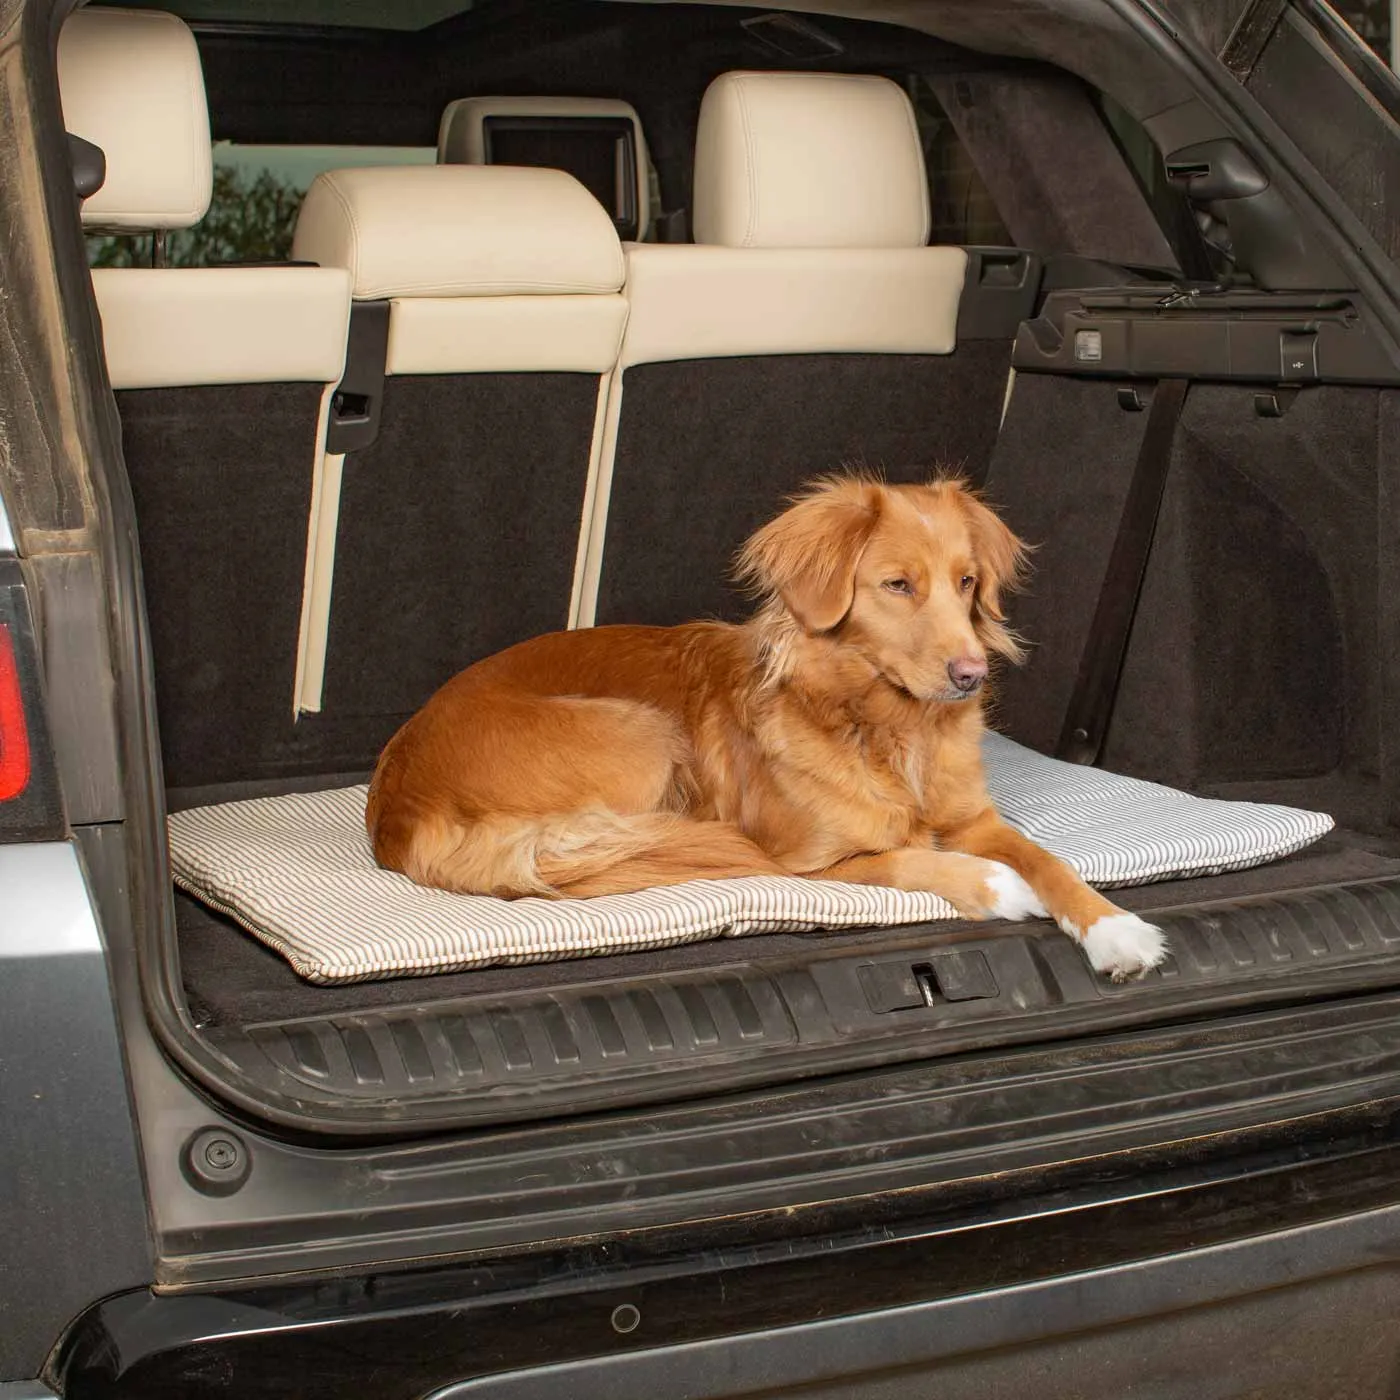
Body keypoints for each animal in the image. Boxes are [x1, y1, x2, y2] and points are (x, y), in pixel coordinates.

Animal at [366, 476, 1164, 980]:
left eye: (967, 582)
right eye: (897, 585)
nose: (971, 674)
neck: (884, 726)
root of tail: (394, 811)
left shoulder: (976, 820)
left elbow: (1050, 861)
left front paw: (1113, 928)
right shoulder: (807, 862)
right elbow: (907, 857)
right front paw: (997, 886)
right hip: (641, 732)